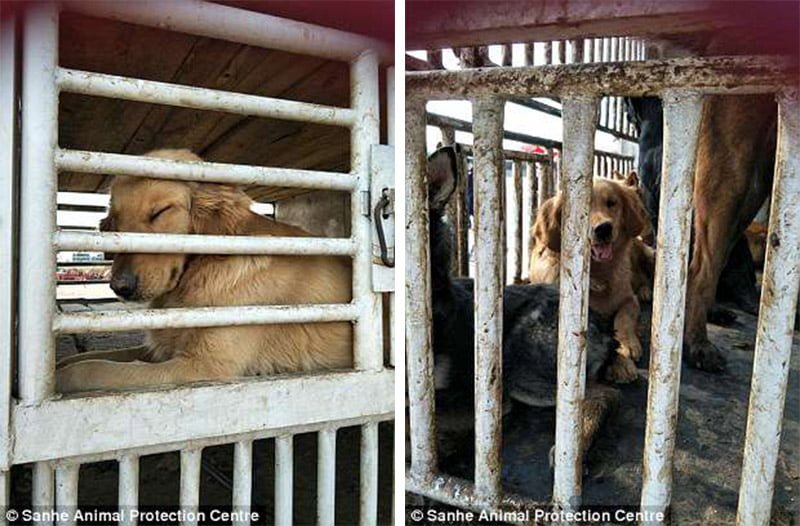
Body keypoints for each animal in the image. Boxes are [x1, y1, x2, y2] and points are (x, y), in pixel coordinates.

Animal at [57, 151, 352, 394]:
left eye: (160, 212)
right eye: (115, 220)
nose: (120, 287)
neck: (204, 268)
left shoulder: (200, 366)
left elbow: (90, 368)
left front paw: (61, 377)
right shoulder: (164, 348)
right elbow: (83, 358)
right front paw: (57, 362)